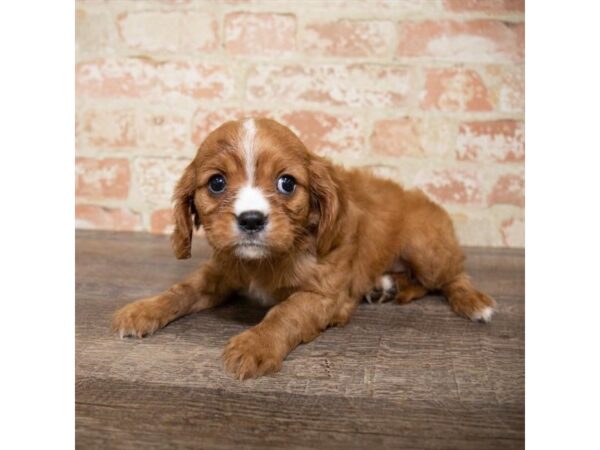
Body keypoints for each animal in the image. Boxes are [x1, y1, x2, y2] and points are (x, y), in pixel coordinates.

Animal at [112, 118, 496, 378]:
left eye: (287, 183)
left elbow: (286, 312)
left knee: (450, 276)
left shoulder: (324, 295)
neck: (263, 262)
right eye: (217, 183)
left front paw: (254, 345)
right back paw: (388, 287)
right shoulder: (219, 271)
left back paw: (474, 302)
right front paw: (143, 310)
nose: (251, 220)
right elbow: (182, 289)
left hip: (426, 248)